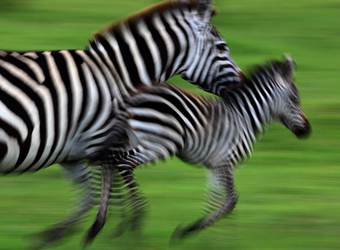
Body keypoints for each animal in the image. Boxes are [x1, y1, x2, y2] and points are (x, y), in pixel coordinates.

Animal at [0, 0, 244, 247]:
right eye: (222, 47)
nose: (242, 85)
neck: (117, 75)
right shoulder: (100, 139)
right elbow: (110, 182)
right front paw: (126, 226)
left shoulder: (74, 149)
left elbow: (92, 193)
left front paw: (62, 234)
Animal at [89, 56, 310, 244]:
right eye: (295, 98)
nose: (307, 131)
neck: (244, 118)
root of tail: (131, 97)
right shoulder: (225, 160)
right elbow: (231, 200)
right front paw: (189, 231)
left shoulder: (214, 165)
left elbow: (214, 200)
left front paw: (215, 239)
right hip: (159, 145)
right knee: (123, 164)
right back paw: (135, 221)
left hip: (131, 139)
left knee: (109, 159)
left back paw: (103, 225)